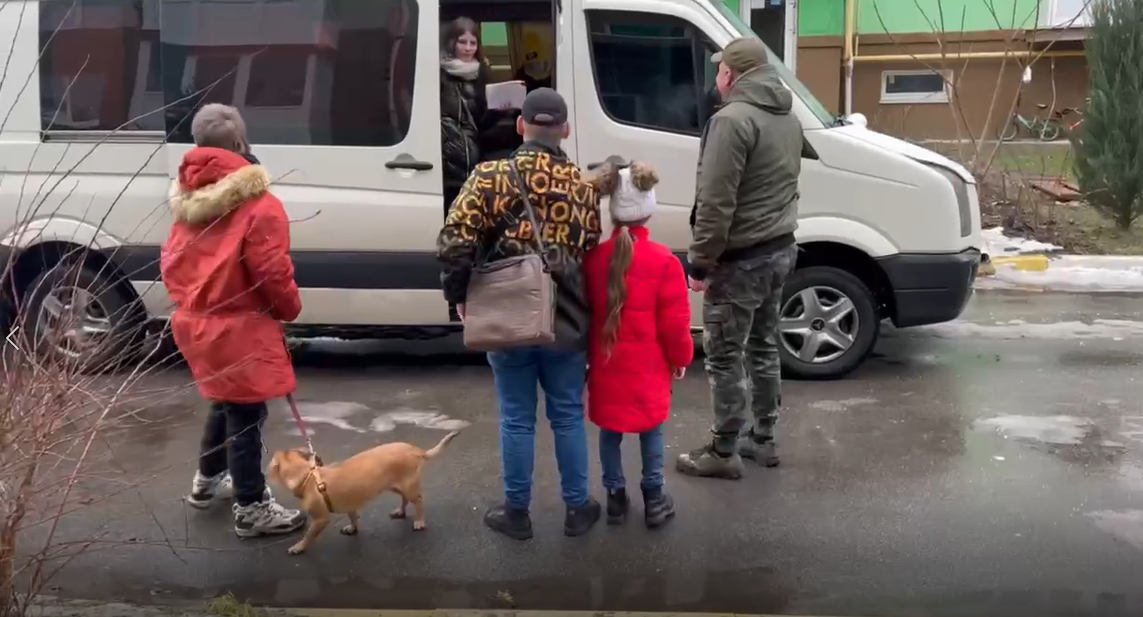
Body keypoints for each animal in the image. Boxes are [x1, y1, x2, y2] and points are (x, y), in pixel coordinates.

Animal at [266, 429, 459, 555]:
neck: (308, 476)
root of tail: (416, 450)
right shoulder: (350, 505)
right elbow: (352, 517)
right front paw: (352, 528)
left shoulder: (320, 519)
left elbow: (308, 535)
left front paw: (299, 546)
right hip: (396, 485)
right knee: (405, 499)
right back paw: (400, 511)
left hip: (409, 487)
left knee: (418, 501)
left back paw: (419, 521)